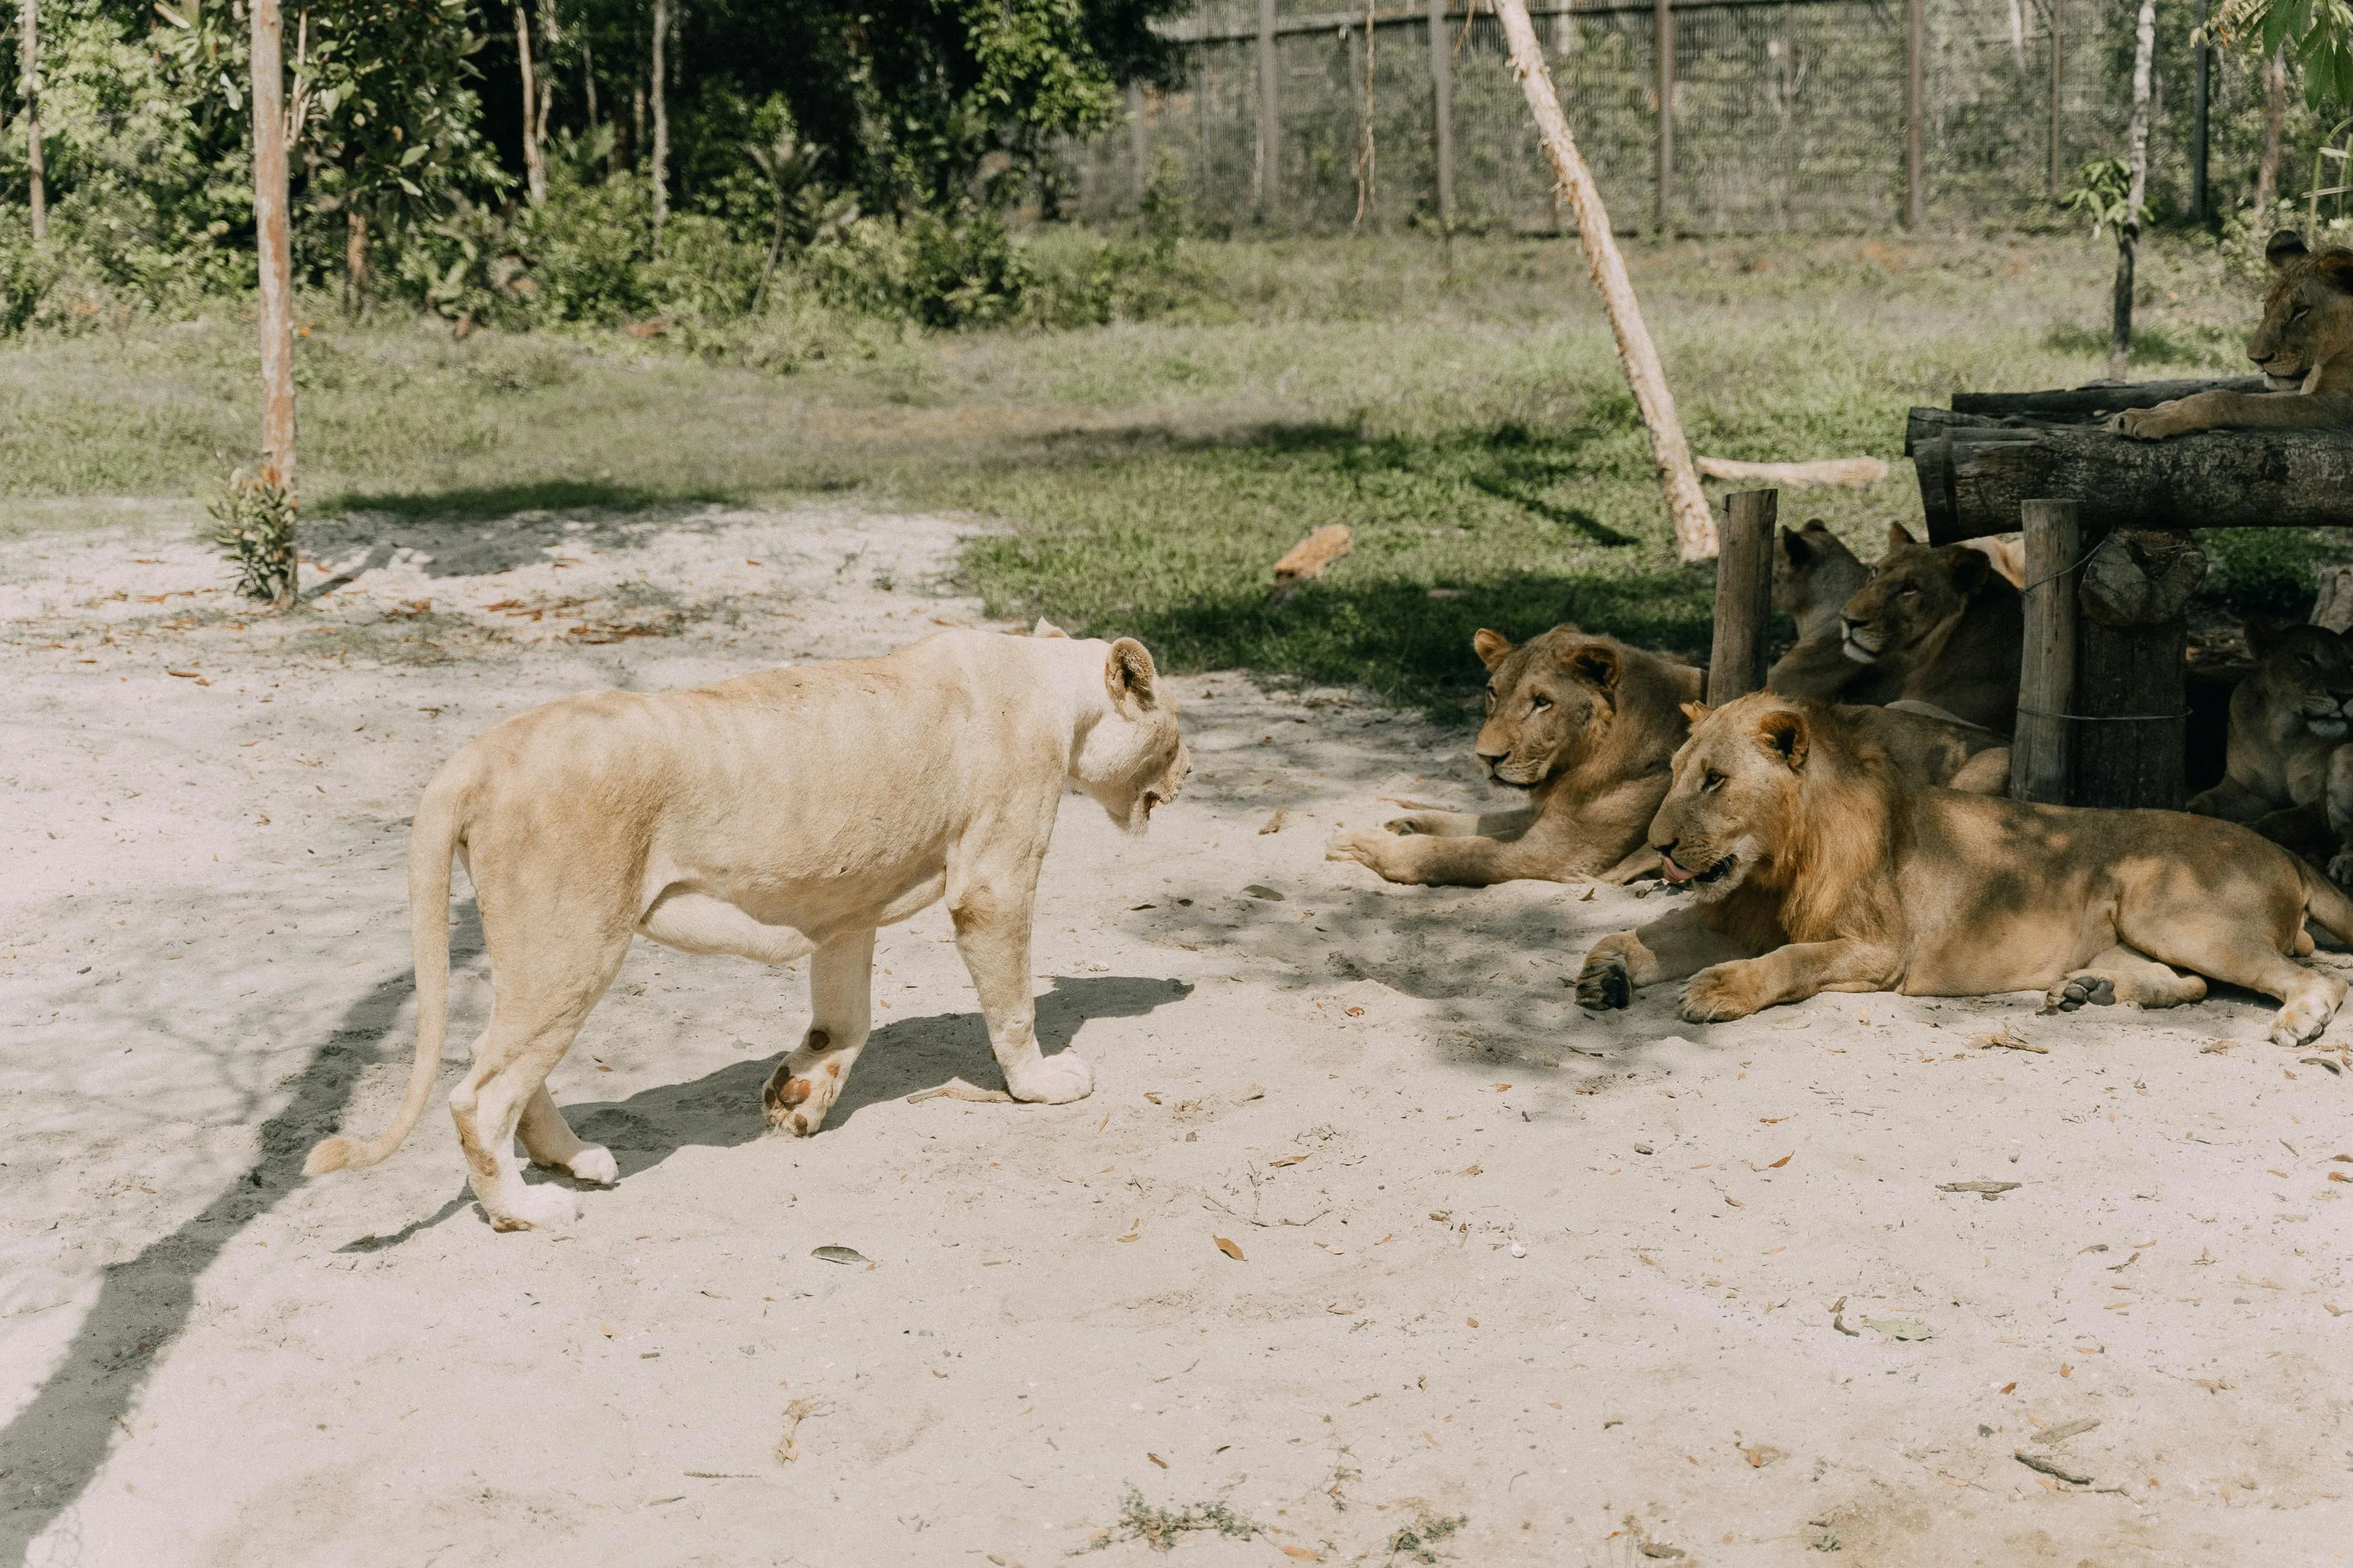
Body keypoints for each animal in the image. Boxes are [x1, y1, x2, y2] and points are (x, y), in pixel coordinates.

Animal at [304, 627, 1189, 1231]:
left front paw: (797, 1098)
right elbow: (1011, 1005)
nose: (1190, 771)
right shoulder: (992, 883)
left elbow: (845, 1018)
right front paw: (1041, 1082)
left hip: (540, 952)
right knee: (478, 1092)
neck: (1052, 688)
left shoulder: (846, 905)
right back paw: (527, 1208)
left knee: (508, 1065)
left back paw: (576, 1159)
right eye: (1176, 726)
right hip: (572, 942)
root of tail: (474, 757)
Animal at [1574, 691, 2352, 1047]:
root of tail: (2283, 849)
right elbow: (1650, 936)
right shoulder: (1737, 915)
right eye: (1676, 771)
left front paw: (1720, 989)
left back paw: (2298, 1022)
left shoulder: (1880, 946)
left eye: (1715, 780)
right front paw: (1606, 968)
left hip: (2169, 908)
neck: (1776, 864)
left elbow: (1791, 959)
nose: (1660, 845)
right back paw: (2086, 990)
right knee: (2190, 984)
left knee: (2314, 977)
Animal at [2118, 231, 2353, 439]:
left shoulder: (2340, 409)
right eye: (2267, 305)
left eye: (2301, 310)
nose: (2256, 358)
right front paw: (2156, 409)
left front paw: (2152, 418)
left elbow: (2227, 400)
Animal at [2187, 619, 2353, 882]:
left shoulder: (2318, 802)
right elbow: (2205, 800)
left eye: (2351, 662)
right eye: (2306, 658)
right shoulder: (2247, 790)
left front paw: (2249, 830)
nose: (2346, 695)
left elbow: (2281, 819)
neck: (2284, 735)